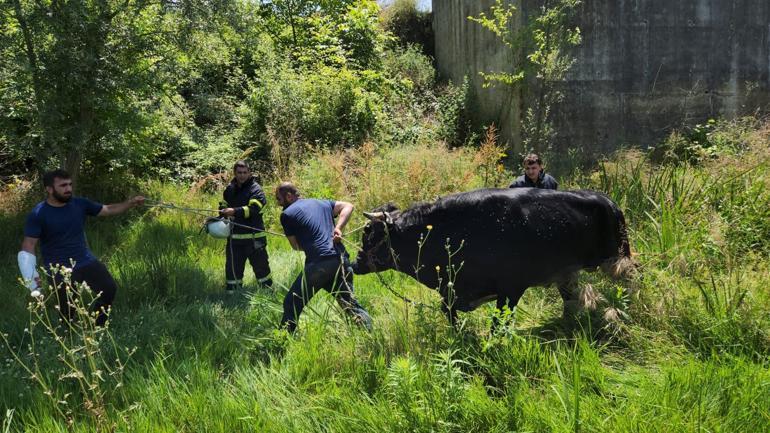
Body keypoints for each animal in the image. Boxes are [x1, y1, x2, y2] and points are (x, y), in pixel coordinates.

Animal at [352, 188, 632, 320]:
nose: (355, 264)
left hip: (619, 261)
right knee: (570, 297)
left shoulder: (511, 289)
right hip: (568, 272)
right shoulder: (453, 295)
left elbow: (499, 325)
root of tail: (609, 202)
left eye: (368, 232)